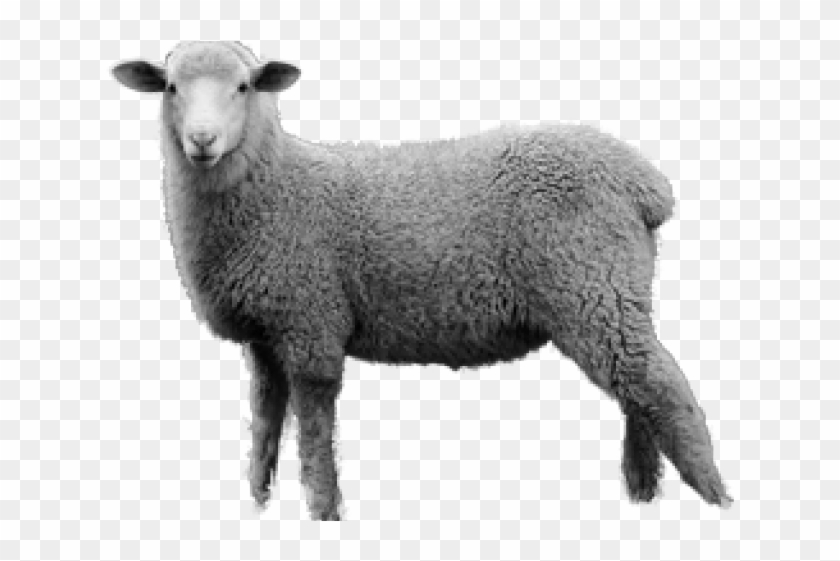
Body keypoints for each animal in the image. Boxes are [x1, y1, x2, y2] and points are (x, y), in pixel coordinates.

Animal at [112, 41, 732, 520]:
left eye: (243, 87)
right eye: (170, 87)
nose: (202, 141)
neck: (275, 187)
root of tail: (642, 181)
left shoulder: (312, 322)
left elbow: (313, 432)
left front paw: (323, 512)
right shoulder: (267, 334)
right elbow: (264, 423)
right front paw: (258, 504)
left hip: (588, 282)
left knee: (660, 388)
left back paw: (716, 500)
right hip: (611, 291)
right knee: (636, 388)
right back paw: (643, 493)